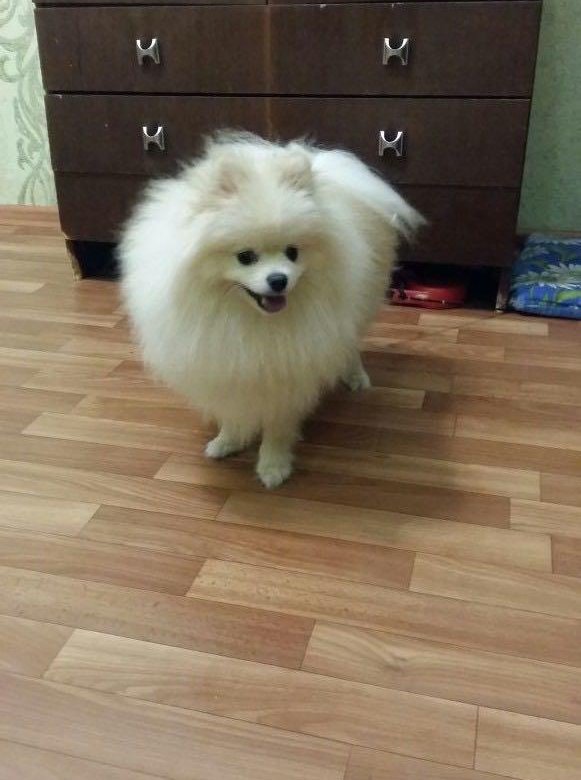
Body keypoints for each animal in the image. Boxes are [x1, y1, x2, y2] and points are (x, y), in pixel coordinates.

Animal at [119, 133, 423, 488]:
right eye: (245, 257)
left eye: (293, 252)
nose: (278, 280)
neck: (249, 320)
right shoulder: (225, 365)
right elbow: (232, 410)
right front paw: (229, 440)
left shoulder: (287, 371)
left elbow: (278, 424)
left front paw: (273, 465)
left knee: (349, 344)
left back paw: (355, 375)